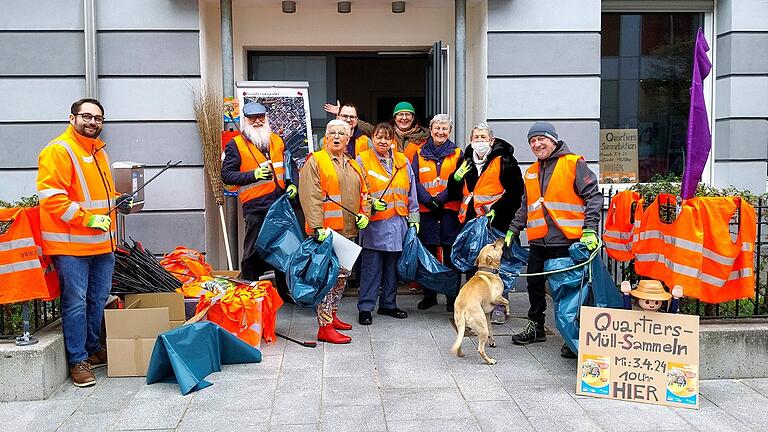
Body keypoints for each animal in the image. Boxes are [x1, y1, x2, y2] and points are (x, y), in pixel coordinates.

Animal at [450, 238, 510, 366]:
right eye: (493, 246)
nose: (501, 238)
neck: (487, 271)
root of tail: (462, 309)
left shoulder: (487, 314)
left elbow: (491, 330)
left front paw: (492, 341)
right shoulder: (496, 298)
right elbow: (506, 301)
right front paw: (507, 311)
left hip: (463, 327)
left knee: (459, 342)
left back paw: (460, 354)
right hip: (482, 329)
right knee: (480, 349)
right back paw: (490, 361)